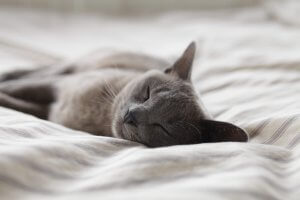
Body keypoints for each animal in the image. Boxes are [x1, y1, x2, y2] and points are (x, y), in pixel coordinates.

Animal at [0, 41, 248, 147]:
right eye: (147, 93)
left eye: (163, 127)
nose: (132, 116)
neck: (99, 116)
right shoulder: (57, 85)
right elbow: (19, 88)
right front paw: (5, 87)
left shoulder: (48, 110)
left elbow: (18, 103)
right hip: (70, 67)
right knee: (38, 71)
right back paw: (8, 73)